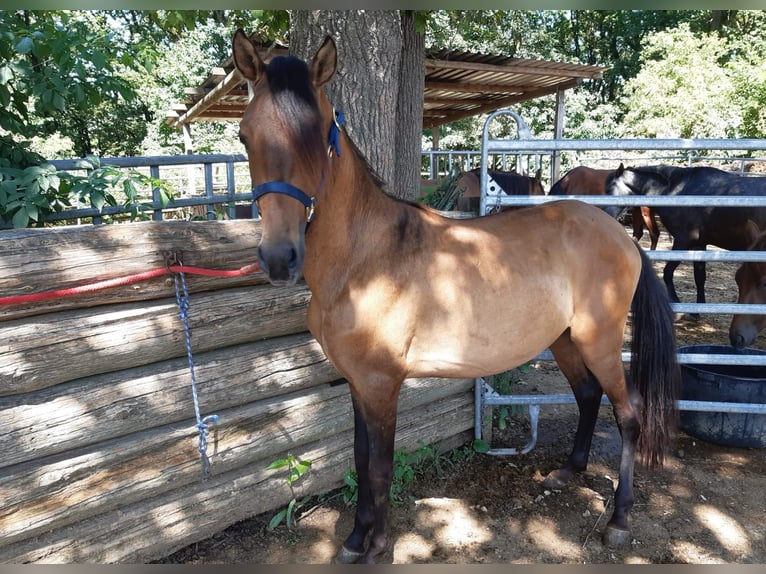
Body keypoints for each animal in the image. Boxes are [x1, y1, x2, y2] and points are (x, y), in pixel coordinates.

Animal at [232, 30, 680, 564]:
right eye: (244, 134)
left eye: (319, 133)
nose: (279, 258)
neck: (364, 259)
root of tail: (621, 235)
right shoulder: (359, 383)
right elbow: (360, 459)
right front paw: (355, 539)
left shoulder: (382, 383)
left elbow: (379, 465)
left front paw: (377, 546)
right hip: (565, 340)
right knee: (588, 395)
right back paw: (568, 472)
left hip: (600, 342)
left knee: (628, 416)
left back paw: (619, 519)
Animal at [606, 164, 766, 308]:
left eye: (609, 189)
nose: (606, 214)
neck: (677, 191)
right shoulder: (699, 244)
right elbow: (699, 277)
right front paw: (697, 310)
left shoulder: (683, 240)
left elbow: (668, 272)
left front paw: (676, 302)